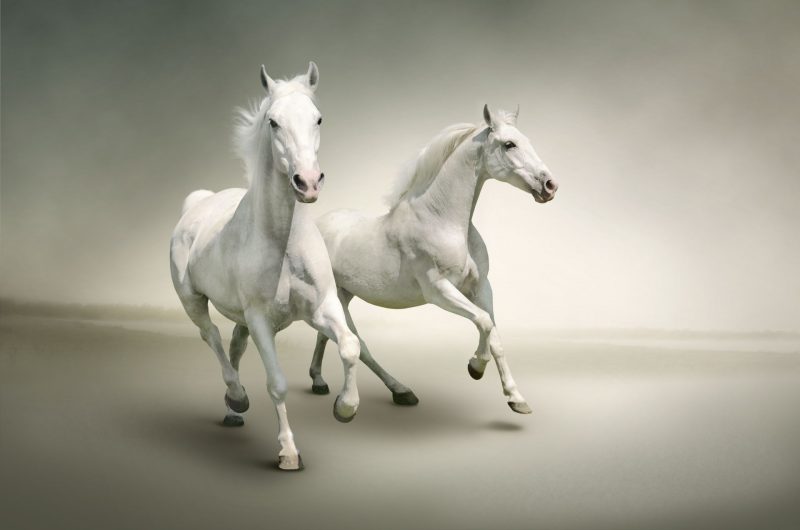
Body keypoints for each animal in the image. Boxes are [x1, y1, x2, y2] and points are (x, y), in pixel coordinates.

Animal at [170, 62, 360, 471]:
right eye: (273, 122)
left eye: (318, 118)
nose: (308, 182)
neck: (283, 243)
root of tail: (198, 203)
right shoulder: (260, 320)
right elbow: (277, 383)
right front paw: (288, 452)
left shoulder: (322, 308)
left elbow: (350, 346)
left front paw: (345, 407)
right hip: (192, 301)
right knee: (211, 336)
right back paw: (237, 397)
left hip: (240, 317)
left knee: (234, 345)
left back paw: (233, 410)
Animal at [308, 105, 558, 414]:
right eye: (509, 144)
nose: (550, 185)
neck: (442, 220)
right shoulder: (439, 291)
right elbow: (484, 322)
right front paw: (475, 367)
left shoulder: (481, 288)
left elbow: (495, 335)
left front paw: (516, 398)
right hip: (338, 298)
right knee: (357, 344)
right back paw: (395, 391)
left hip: (344, 294)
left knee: (327, 335)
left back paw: (321, 381)